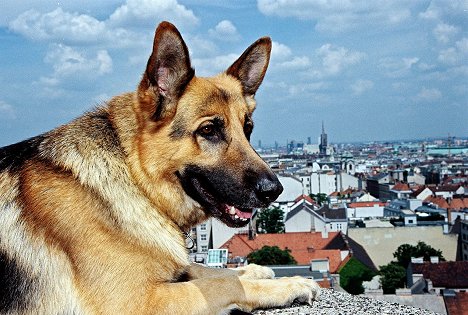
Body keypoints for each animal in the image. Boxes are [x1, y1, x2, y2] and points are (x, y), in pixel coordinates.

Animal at [0, 21, 320, 314]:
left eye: (248, 129)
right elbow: (221, 282)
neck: (136, 178)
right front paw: (287, 284)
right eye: (208, 130)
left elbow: (204, 269)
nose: (274, 190)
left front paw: (253, 270)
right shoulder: (137, 300)